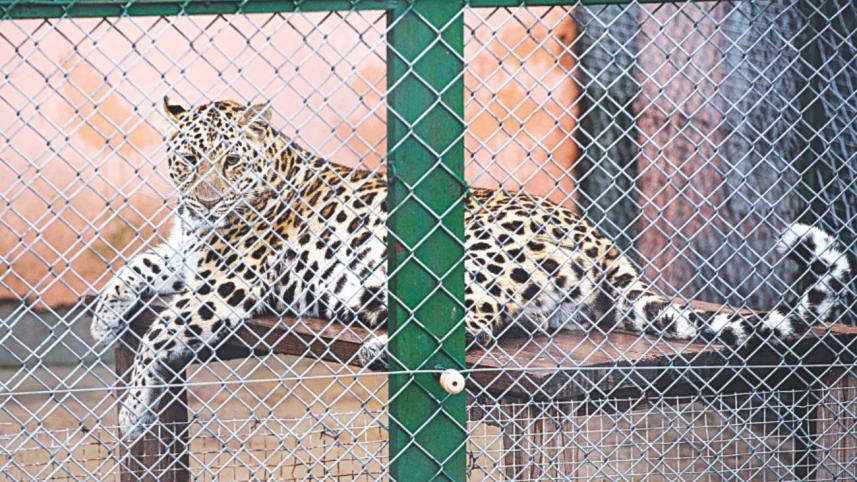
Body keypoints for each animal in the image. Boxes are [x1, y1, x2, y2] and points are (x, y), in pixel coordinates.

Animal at [91, 98, 853, 440]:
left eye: (231, 163)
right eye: (190, 160)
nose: (204, 198)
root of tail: (598, 233)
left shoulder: (224, 282)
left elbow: (158, 335)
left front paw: (131, 412)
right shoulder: (185, 255)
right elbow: (139, 263)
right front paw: (101, 316)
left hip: (469, 256)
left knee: (480, 320)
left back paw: (381, 348)